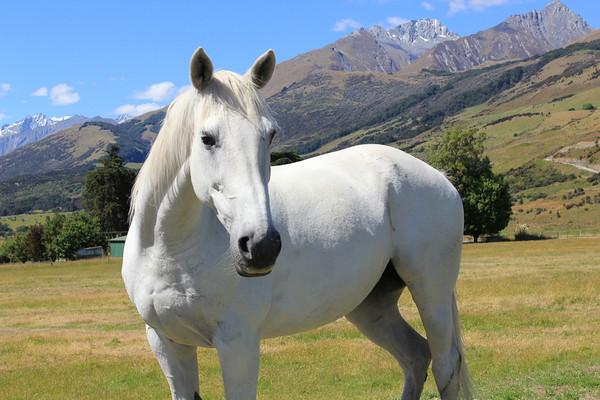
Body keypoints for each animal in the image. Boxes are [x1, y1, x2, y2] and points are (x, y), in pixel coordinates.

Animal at [123, 47, 474, 400]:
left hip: (431, 290)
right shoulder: (167, 343)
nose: (261, 247)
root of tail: (438, 176)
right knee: (416, 357)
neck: (172, 251)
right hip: (371, 307)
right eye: (206, 138)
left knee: (445, 366)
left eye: (270, 135)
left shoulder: (238, 344)